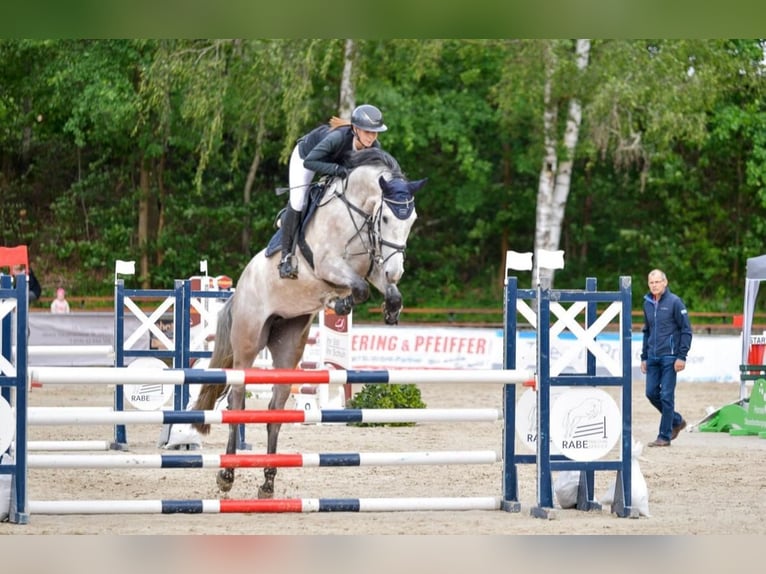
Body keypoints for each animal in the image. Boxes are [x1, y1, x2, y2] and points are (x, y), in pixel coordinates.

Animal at [192, 150, 426, 500]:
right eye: (385, 219)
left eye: (411, 221)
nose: (396, 271)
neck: (355, 211)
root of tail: (239, 288)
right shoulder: (329, 265)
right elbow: (358, 288)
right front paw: (339, 302)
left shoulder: (371, 268)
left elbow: (382, 289)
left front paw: (389, 309)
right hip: (248, 342)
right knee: (237, 400)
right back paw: (227, 475)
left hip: (288, 345)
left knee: (275, 410)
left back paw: (268, 482)